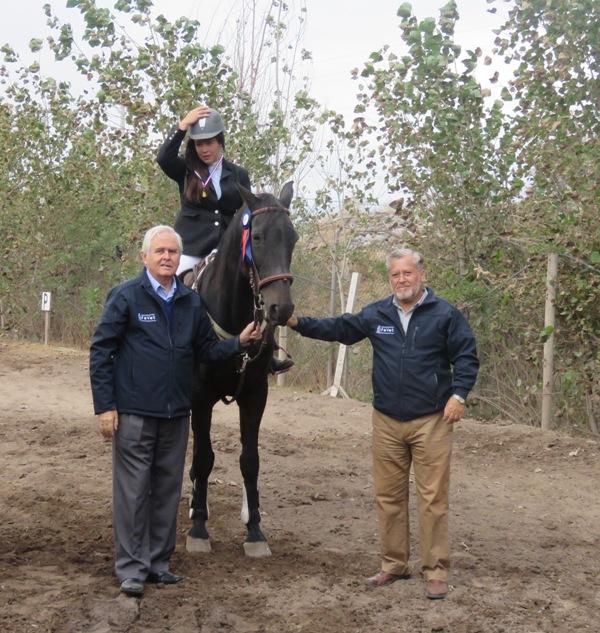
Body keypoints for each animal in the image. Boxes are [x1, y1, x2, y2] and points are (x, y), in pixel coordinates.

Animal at [186, 180, 296, 556]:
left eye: (293, 238)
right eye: (257, 237)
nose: (281, 308)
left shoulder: (255, 395)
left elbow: (250, 460)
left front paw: (255, 530)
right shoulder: (199, 397)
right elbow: (203, 457)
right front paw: (198, 527)